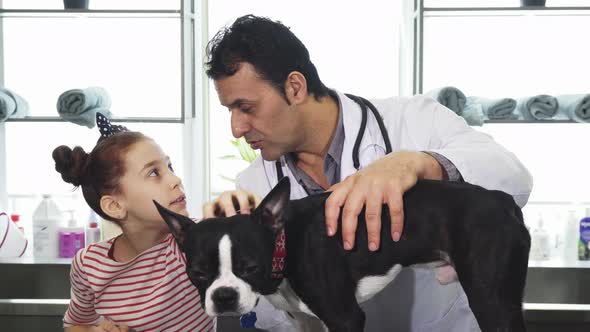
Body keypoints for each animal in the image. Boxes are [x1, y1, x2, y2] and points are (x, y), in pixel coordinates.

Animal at [155, 179, 536, 332]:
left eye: (250, 267)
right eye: (198, 272)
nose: (224, 296)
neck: (284, 243)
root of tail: (502, 200)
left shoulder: (345, 317)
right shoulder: (306, 322)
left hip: (491, 300)